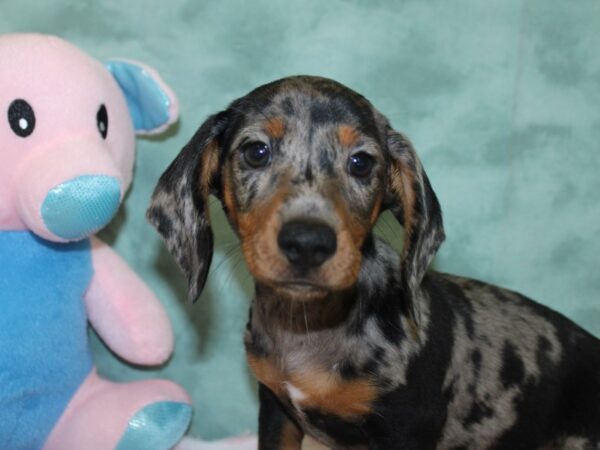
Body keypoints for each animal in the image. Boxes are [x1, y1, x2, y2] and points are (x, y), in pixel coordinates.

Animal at [148, 77, 600, 450]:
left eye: (361, 163)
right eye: (256, 152)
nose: (308, 243)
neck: (311, 328)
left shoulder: (406, 426)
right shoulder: (276, 409)